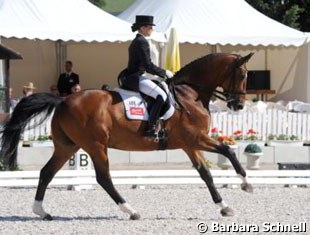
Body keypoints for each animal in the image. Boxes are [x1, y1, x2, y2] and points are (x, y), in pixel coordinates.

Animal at [0, 51, 254, 220]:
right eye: (242, 74)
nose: (239, 105)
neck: (190, 94)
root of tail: (62, 100)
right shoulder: (196, 139)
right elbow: (228, 151)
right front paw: (246, 184)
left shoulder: (190, 144)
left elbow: (206, 174)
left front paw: (224, 206)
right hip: (95, 145)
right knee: (103, 178)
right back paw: (130, 210)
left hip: (68, 146)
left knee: (46, 172)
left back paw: (41, 211)